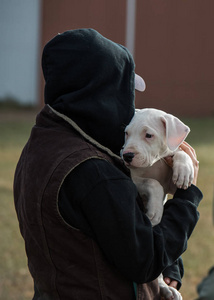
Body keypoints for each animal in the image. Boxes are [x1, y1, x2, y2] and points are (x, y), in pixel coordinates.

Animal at [120, 108, 194, 300]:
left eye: (148, 135)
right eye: (127, 133)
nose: (126, 155)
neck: (155, 163)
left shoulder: (171, 172)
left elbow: (180, 152)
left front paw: (184, 170)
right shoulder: (135, 180)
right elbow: (153, 183)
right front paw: (154, 211)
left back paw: (167, 289)